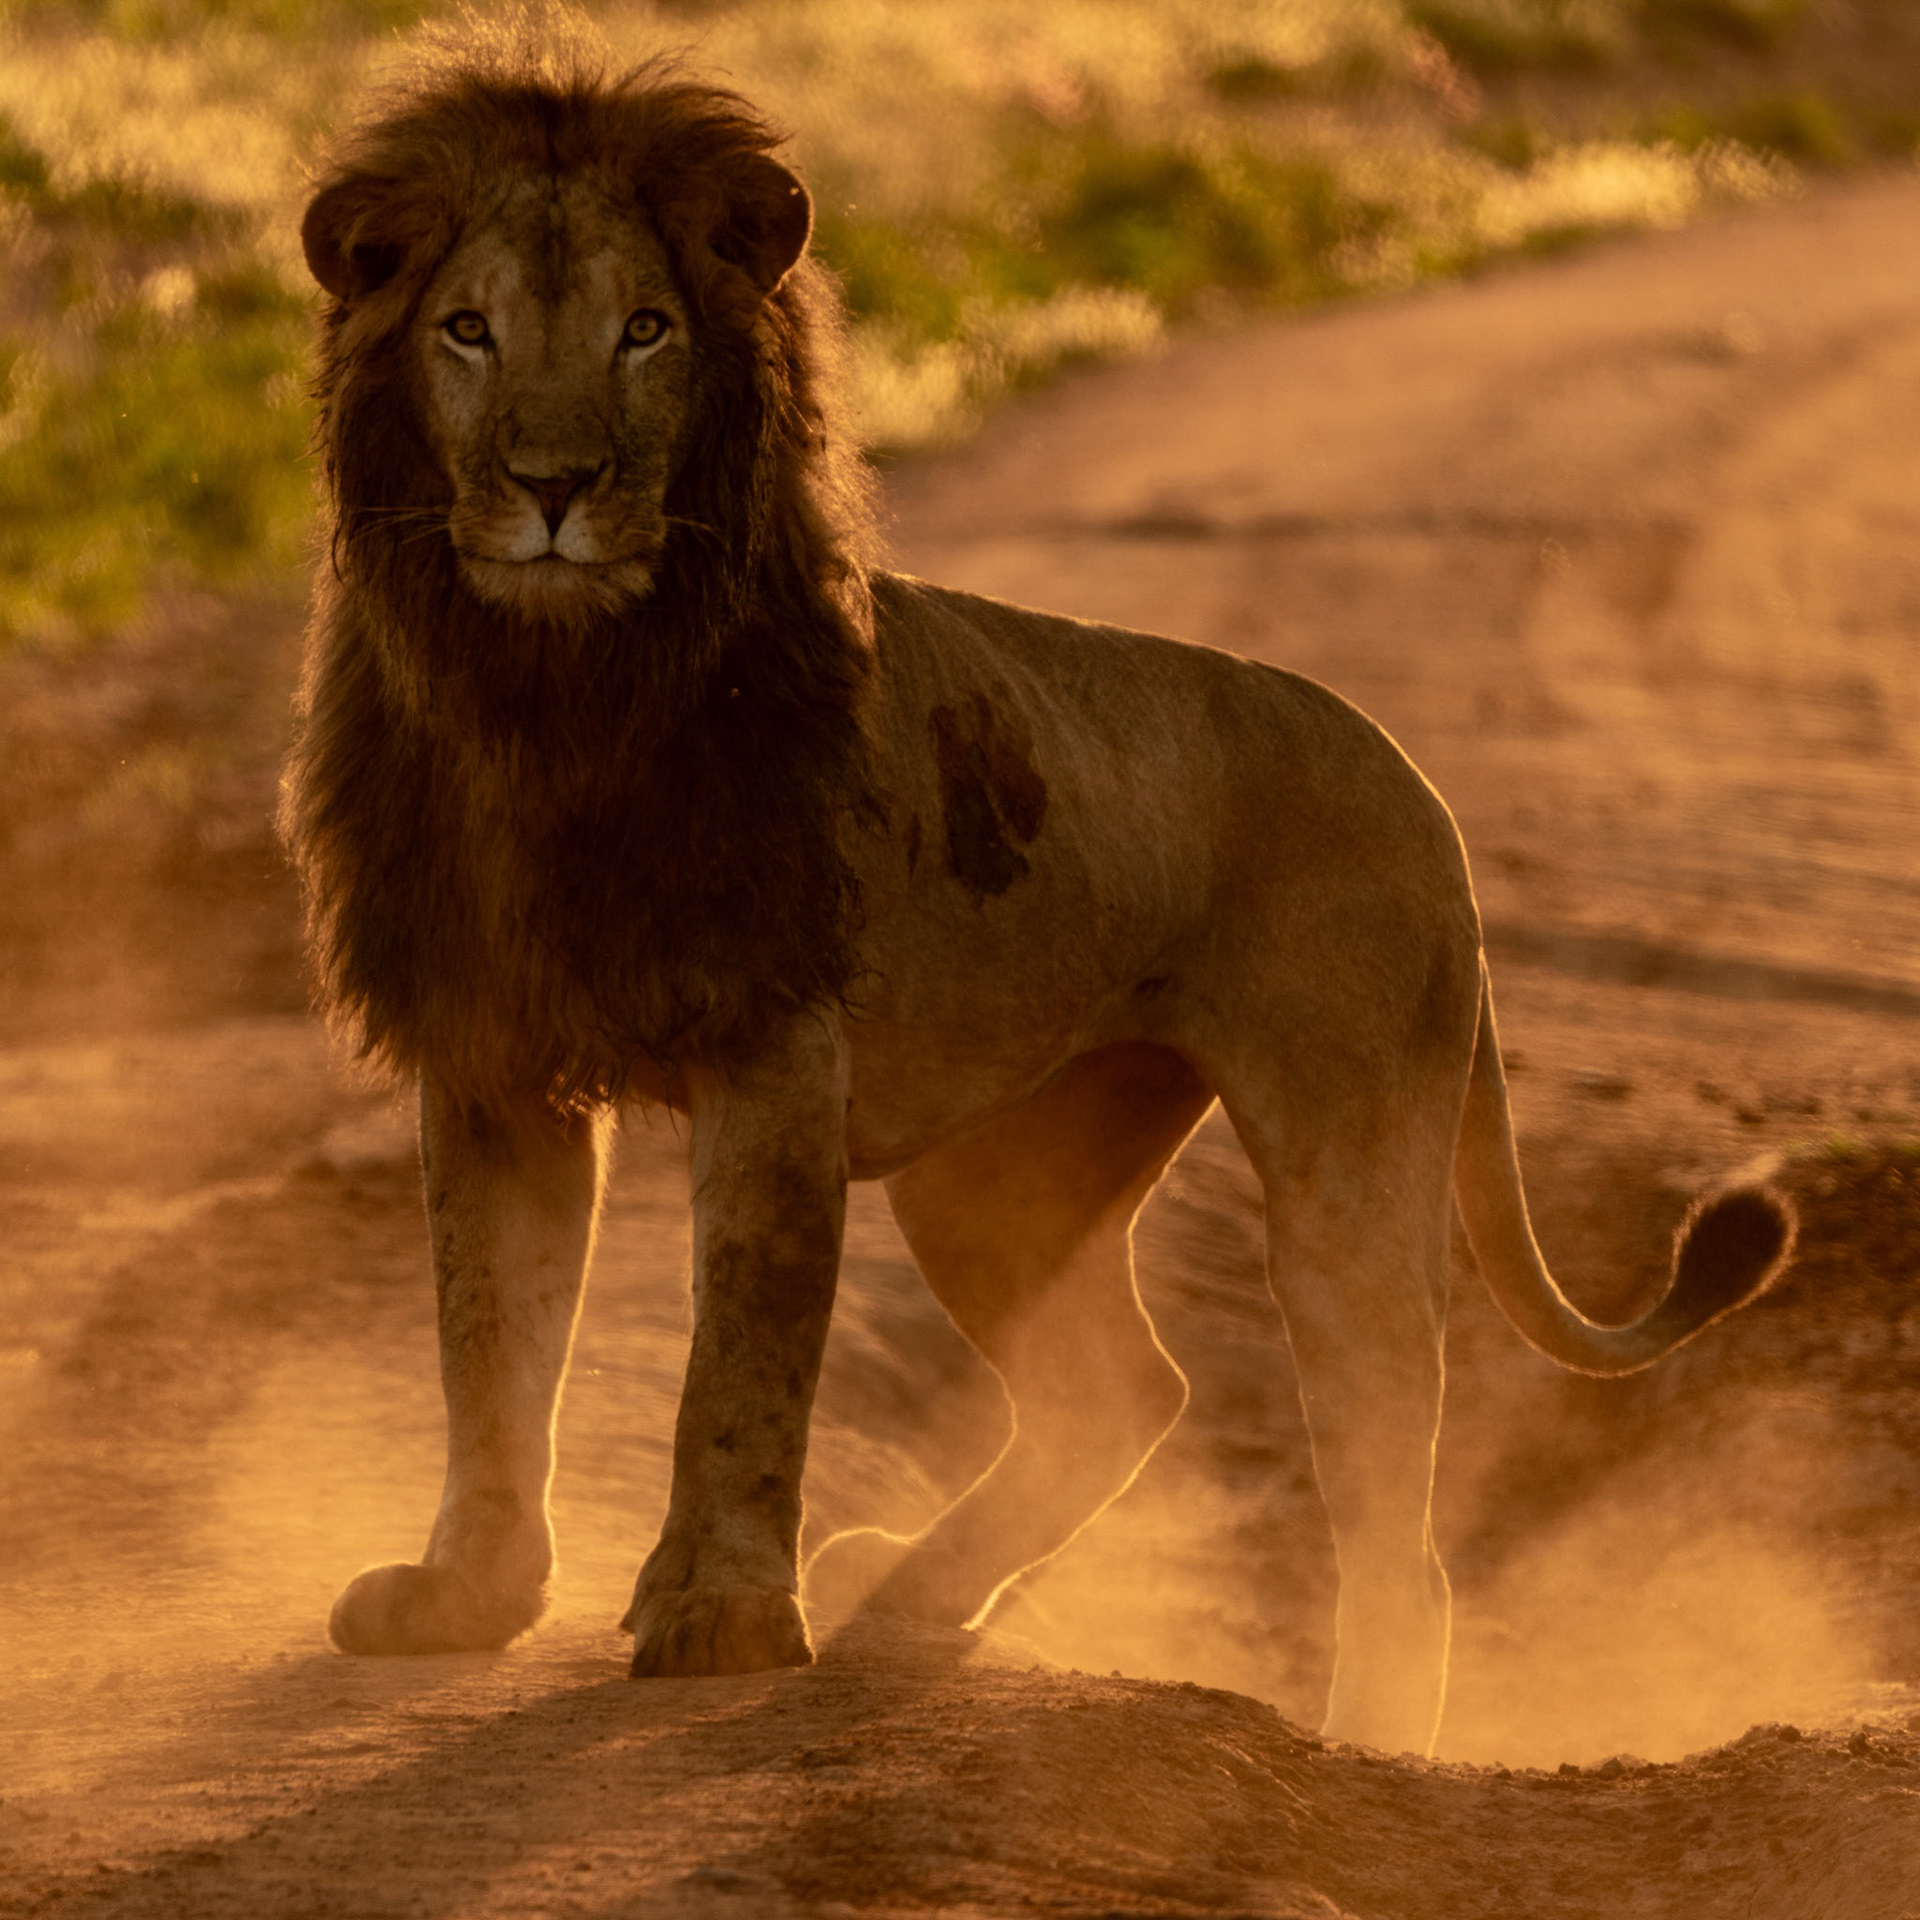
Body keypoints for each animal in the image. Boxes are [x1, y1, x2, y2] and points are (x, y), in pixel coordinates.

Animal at [285, 43, 1794, 1757]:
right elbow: (490, 1337)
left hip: (1346, 1169)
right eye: (467, 330)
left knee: (1391, 1528)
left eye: (645, 330)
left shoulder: (776, 1043)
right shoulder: (487, 1051)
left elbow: (740, 1353)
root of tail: (1423, 792)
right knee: (1123, 1394)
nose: (554, 486)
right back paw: (905, 1595)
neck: (549, 696)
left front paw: (721, 1615)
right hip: (1000, 1173)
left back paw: (1360, 1738)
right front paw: (465, 1594)